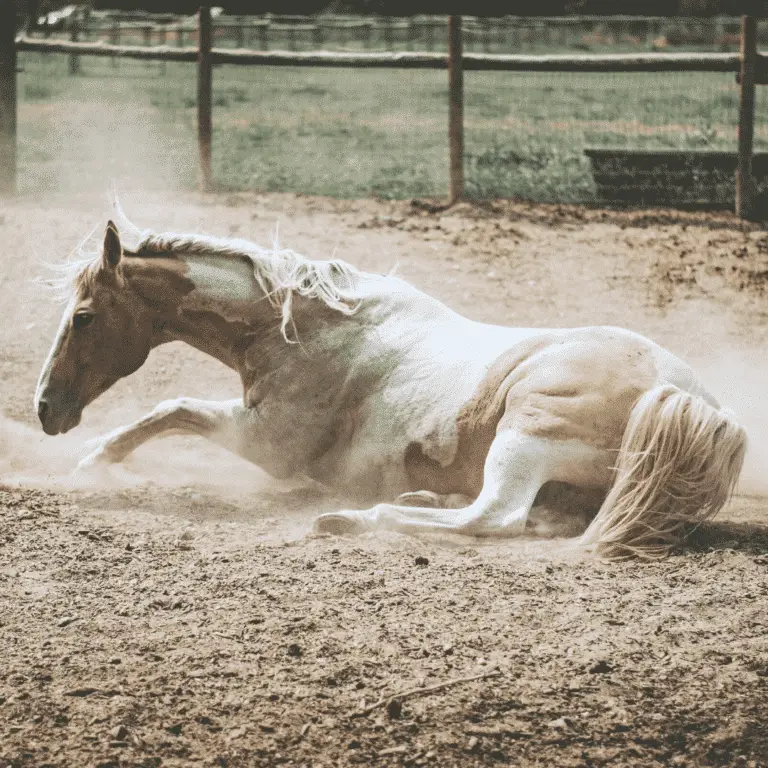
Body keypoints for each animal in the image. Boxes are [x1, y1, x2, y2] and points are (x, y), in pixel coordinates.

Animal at [33, 216, 748, 560]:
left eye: (83, 317)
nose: (44, 409)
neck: (301, 329)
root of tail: (688, 399)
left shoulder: (267, 443)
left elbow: (170, 407)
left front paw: (91, 465)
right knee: (532, 519)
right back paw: (417, 496)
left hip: (525, 435)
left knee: (497, 515)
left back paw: (353, 518)